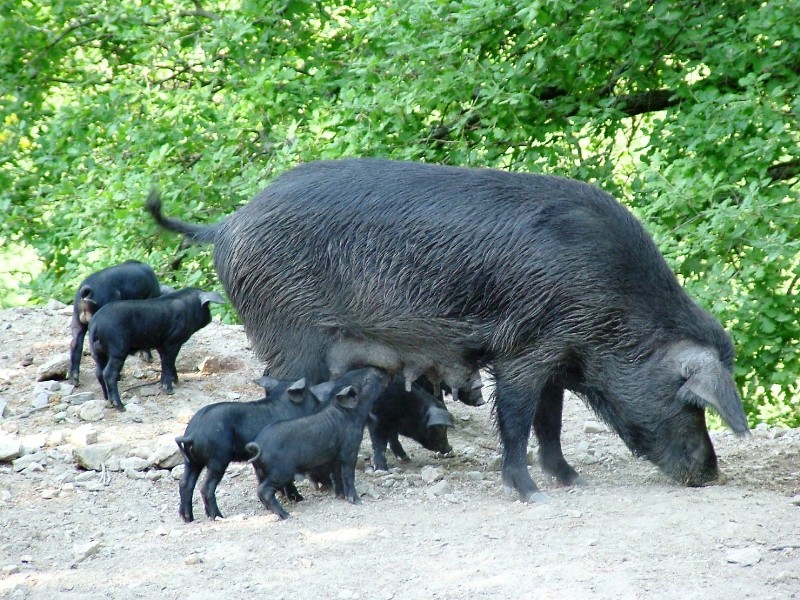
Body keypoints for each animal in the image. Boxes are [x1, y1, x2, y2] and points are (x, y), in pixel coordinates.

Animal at [148, 158, 752, 502]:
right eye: (693, 401)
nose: (711, 474)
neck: (612, 312)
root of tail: (227, 223)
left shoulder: (557, 359)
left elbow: (550, 425)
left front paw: (572, 480)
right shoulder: (525, 350)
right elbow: (517, 422)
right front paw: (530, 494)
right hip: (290, 335)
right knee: (281, 400)